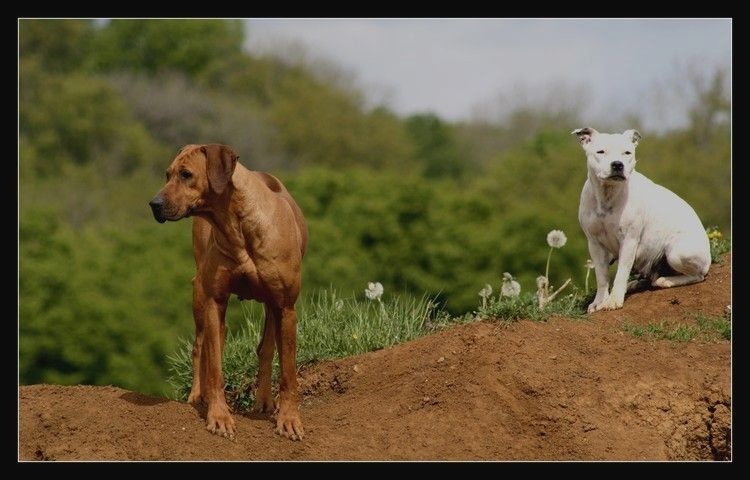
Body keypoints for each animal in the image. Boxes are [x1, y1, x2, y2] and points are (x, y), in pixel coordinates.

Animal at [148, 144, 306, 440]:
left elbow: (288, 373)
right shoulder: (214, 300)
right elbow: (215, 369)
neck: (238, 226)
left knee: (266, 348)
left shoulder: (286, 307)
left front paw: (289, 419)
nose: (154, 204)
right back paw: (198, 395)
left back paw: (264, 401)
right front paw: (219, 416)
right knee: (203, 346)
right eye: (167, 175)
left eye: (186, 174)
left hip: (272, 306)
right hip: (200, 294)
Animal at [576, 126, 712, 312]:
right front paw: (599, 302)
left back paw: (666, 281)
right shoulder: (595, 244)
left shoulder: (629, 241)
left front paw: (613, 300)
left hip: (677, 254)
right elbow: (601, 277)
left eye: (627, 152)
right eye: (601, 152)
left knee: (697, 276)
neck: (608, 195)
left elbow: (621, 273)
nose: (617, 164)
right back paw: (637, 283)